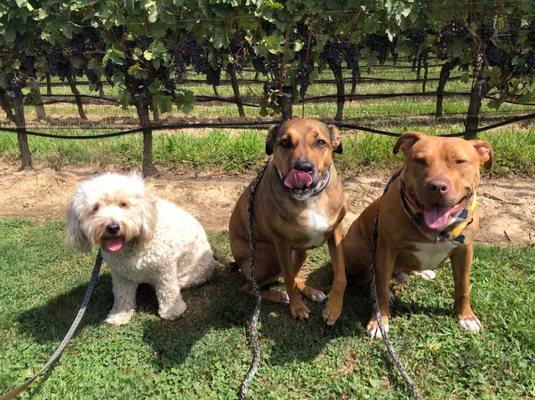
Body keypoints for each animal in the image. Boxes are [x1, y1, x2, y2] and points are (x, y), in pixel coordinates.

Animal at [67, 172, 216, 324]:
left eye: (123, 204)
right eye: (95, 208)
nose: (113, 227)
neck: (132, 246)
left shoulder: (165, 270)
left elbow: (168, 291)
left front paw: (172, 311)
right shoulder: (120, 275)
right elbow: (122, 295)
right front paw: (120, 315)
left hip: (195, 271)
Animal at [227, 115, 346, 324]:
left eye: (320, 142)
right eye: (285, 143)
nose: (303, 168)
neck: (310, 198)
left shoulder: (336, 232)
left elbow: (340, 275)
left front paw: (333, 308)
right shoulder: (281, 243)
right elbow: (289, 281)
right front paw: (297, 308)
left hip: (300, 253)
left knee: (287, 275)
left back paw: (311, 291)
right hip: (269, 256)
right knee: (253, 287)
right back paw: (280, 296)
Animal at [344, 132, 494, 338]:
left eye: (460, 161)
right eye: (420, 160)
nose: (437, 186)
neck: (436, 231)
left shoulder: (464, 250)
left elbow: (463, 285)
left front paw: (466, 316)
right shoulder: (385, 251)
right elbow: (380, 287)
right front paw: (379, 321)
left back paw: (422, 272)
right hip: (360, 249)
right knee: (368, 280)